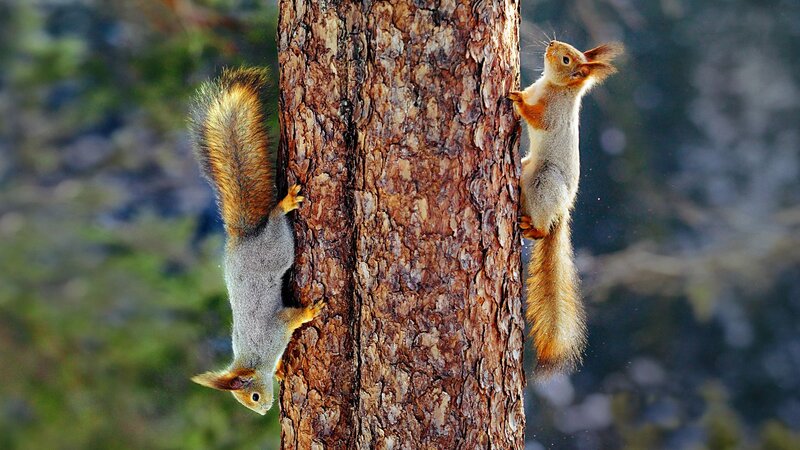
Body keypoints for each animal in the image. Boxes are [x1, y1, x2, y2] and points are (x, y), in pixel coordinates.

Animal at [187, 67, 322, 415]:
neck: (254, 357)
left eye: (254, 397)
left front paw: (309, 312)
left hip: (276, 247)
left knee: (275, 220)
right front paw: (281, 369)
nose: (263, 411)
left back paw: (284, 204)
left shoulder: (274, 330)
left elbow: (291, 318)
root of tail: (245, 238)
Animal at [508, 40, 623, 378]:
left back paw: (533, 227)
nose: (551, 44)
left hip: (546, 182)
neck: (553, 87)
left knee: (541, 228)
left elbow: (536, 118)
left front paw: (517, 99)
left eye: (566, 59)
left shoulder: (553, 116)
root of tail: (562, 211)